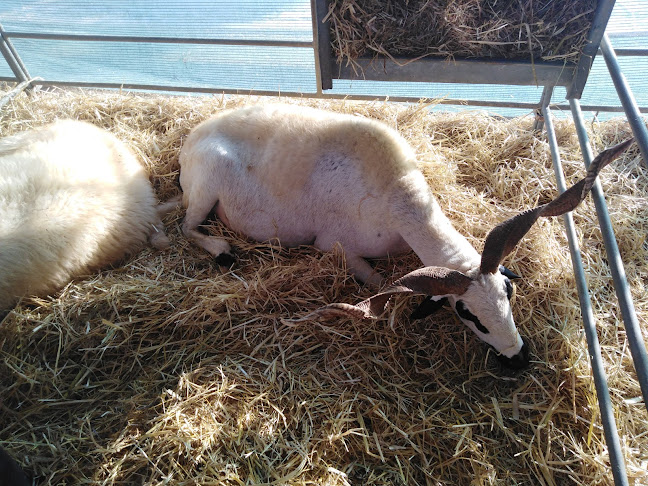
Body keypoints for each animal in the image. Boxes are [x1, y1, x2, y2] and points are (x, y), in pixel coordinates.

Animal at [178, 102, 632, 368]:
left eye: (509, 293)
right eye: (466, 314)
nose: (519, 359)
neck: (396, 192)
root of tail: (191, 138)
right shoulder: (337, 248)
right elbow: (378, 283)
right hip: (205, 189)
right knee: (187, 227)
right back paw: (222, 250)